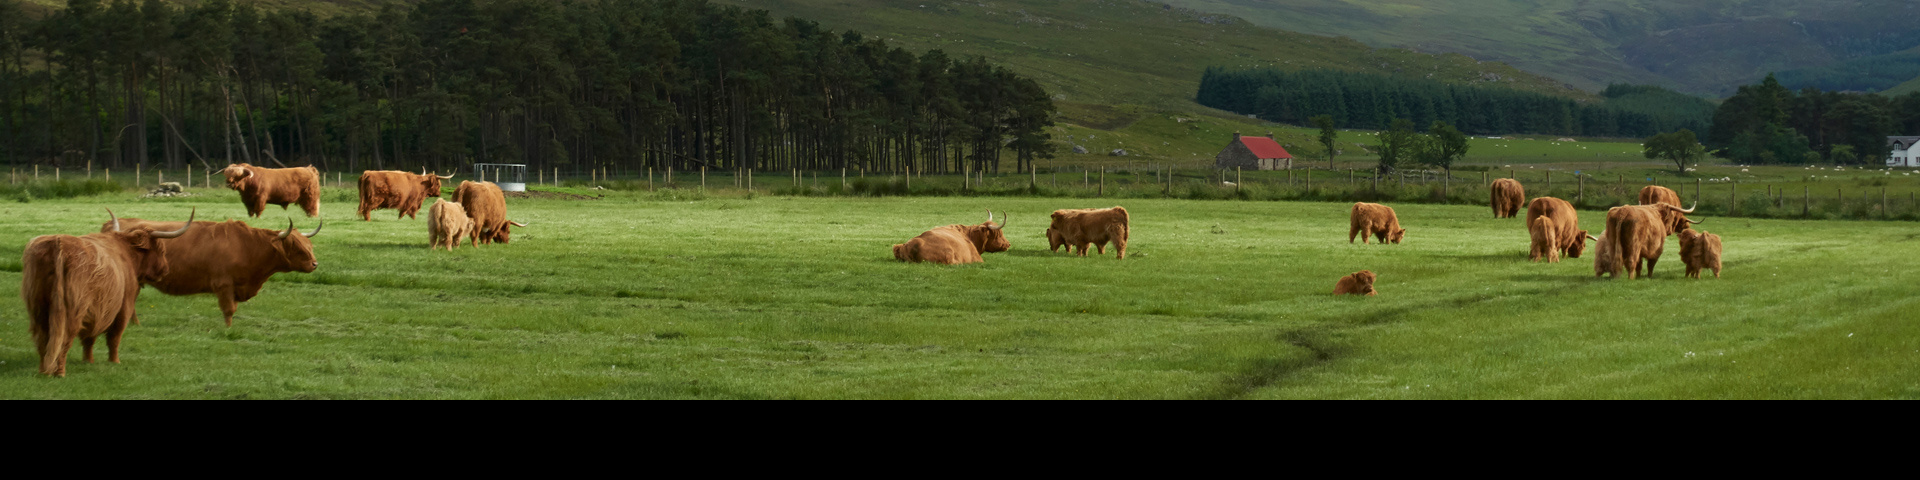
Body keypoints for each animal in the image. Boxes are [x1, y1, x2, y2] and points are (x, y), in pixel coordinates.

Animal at [22, 208, 192, 376]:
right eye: (161, 250)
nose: (165, 269)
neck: (128, 254)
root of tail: (59, 243)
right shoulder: (123, 305)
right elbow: (114, 336)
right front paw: (114, 361)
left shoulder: (95, 311)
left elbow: (89, 338)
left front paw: (88, 360)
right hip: (72, 310)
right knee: (64, 338)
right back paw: (60, 372)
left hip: (38, 308)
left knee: (43, 339)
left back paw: (44, 370)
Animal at [101, 216, 320, 326]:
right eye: (296, 247)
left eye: (309, 245)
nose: (314, 264)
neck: (248, 247)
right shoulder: (224, 285)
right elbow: (229, 310)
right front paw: (228, 330)